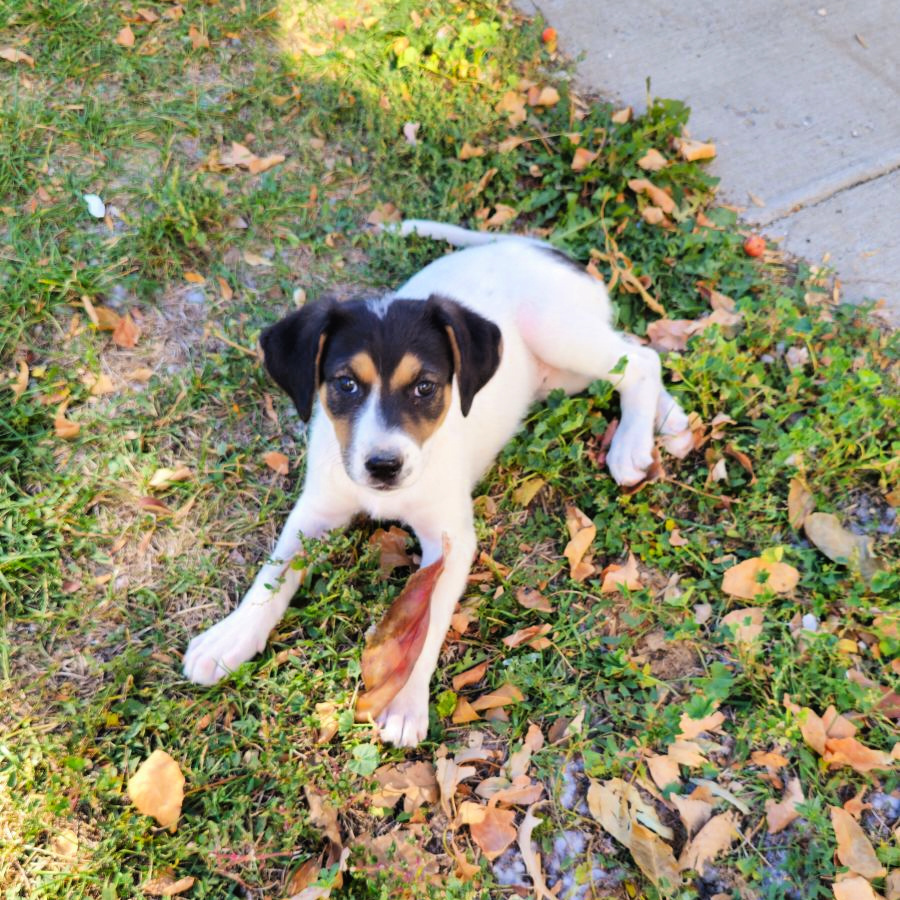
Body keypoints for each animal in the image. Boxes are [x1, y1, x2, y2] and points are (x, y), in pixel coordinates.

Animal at [181, 221, 688, 748]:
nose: (383, 466)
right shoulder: (315, 510)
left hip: (555, 330)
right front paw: (230, 637)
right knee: (631, 349)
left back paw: (633, 443)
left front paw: (405, 703)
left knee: (640, 359)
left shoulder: (451, 541)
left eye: (425, 387)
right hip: (561, 374)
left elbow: (425, 623)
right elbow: (273, 573)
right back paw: (671, 420)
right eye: (345, 384)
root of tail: (527, 245)